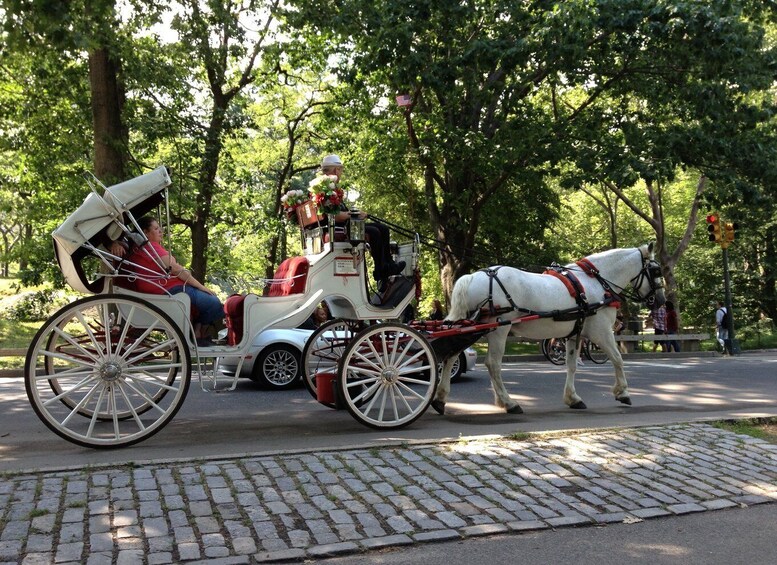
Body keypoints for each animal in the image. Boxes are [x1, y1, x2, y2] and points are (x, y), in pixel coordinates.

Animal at [434, 242, 664, 414]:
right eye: (655, 270)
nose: (661, 301)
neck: (596, 282)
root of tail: (475, 276)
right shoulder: (601, 332)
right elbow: (618, 358)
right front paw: (622, 392)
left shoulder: (574, 334)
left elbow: (571, 365)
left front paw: (573, 398)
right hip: (498, 329)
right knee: (492, 364)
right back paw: (509, 403)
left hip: (471, 328)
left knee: (452, 355)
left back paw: (440, 398)